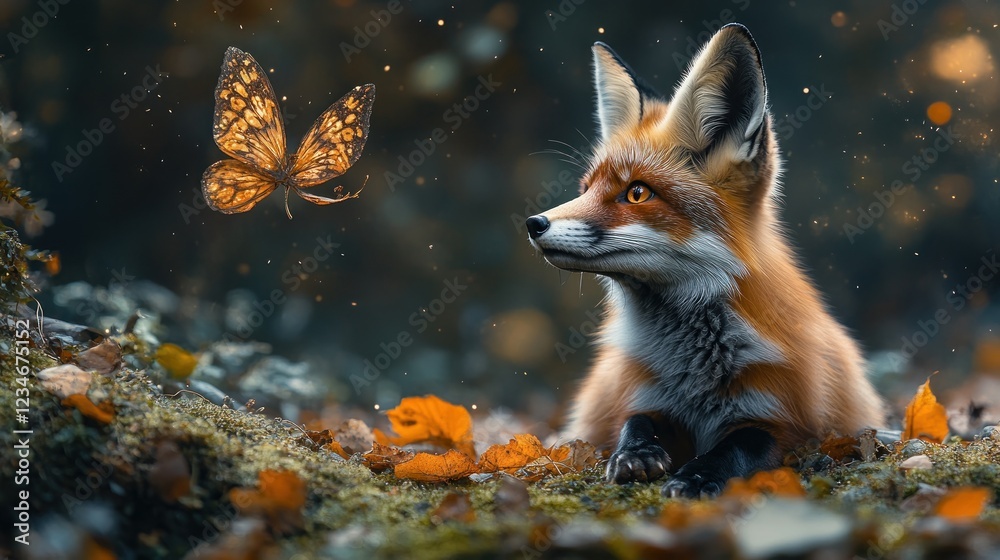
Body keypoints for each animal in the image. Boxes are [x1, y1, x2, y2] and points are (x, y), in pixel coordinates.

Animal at [526, 23, 886, 498]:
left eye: (637, 193)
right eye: (586, 189)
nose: (533, 223)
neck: (694, 373)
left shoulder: (782, 417)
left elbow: (740, 446)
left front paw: (697, 475)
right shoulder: (644, 396)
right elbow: (635, 422)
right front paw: (635, 453)